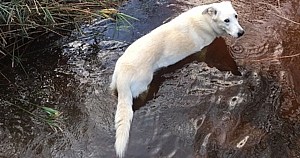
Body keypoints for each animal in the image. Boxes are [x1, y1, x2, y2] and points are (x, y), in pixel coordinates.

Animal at [110, 1, 244, 157]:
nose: (241, 33)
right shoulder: (203, 51)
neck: (206, 21)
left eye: (236, 16)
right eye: (226, 20)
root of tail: (123, 75)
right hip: (142, 86)